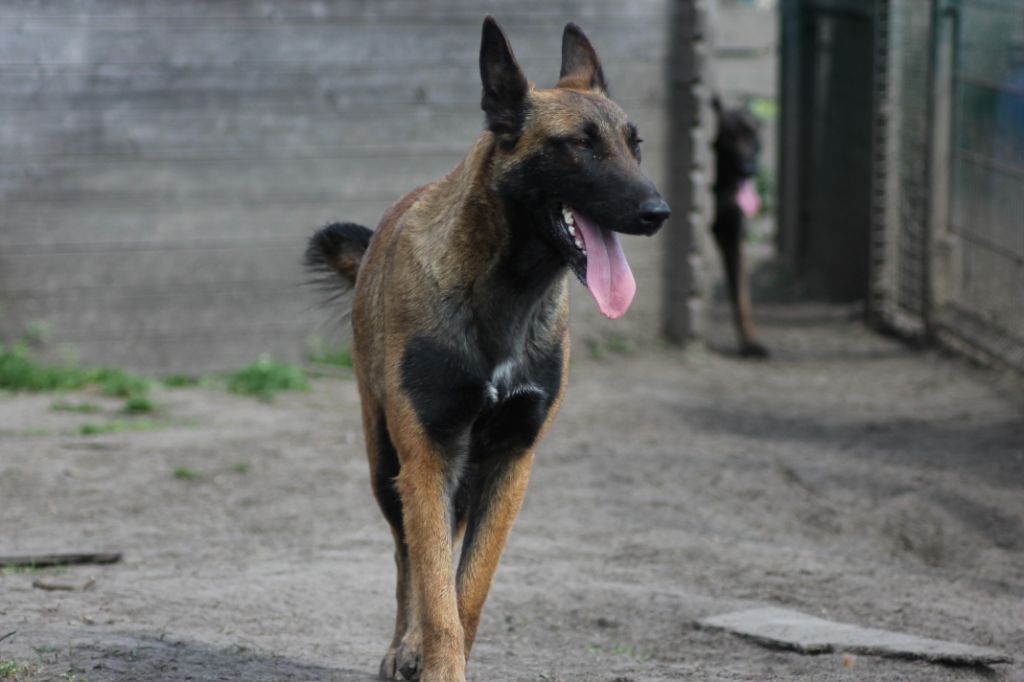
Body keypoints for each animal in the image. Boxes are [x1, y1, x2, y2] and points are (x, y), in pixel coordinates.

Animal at [305, 17, 669, 682]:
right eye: (579, 145)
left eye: (636, 145)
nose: (658, 212)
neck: (505, 292)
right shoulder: (427, 456)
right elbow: (434, 591)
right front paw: (431, 657)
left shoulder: (510, 463)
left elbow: (465, 593)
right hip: (387, 463)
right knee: (406, 561)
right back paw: (402, 646)